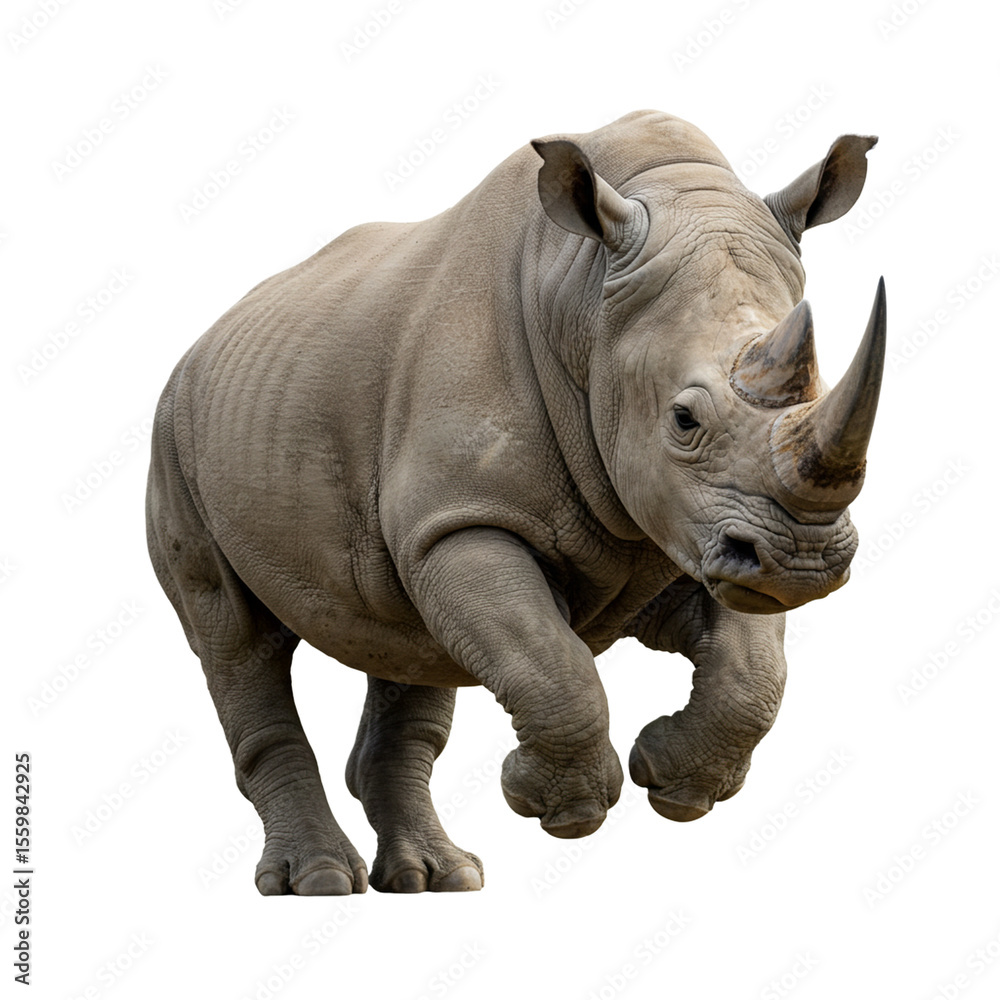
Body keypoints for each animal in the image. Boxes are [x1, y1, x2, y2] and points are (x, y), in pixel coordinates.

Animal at [146, 110, 885, 894]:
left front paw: (675, 784)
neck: (586, 297)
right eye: (684, 420)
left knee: (407, 644)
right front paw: (564, 810)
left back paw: (435, 879)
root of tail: (204, 339)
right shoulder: (466, 518)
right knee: (234, 638)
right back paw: (318, 882)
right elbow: (550, 665)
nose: (802, 563)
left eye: (821, 387)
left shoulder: (699, 530)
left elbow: (753, 674)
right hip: (175, 437)